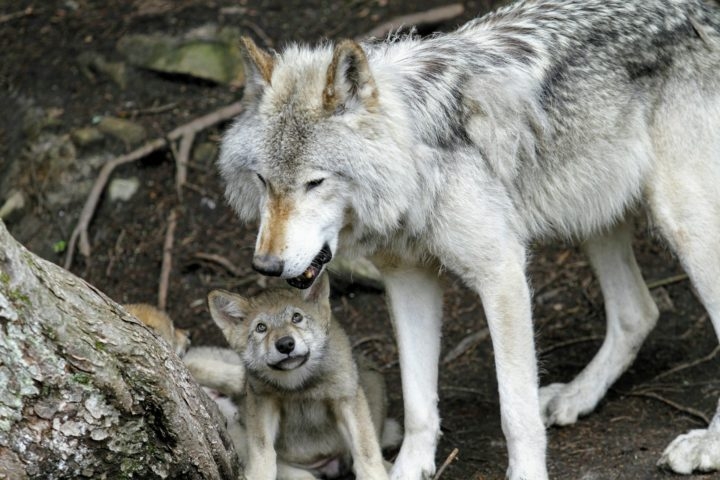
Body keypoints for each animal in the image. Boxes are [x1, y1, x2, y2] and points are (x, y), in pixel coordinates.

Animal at [217, 1, 720, 478]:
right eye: (263, 181)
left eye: (315, 183)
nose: (266, 266)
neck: (417, 158)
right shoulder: (407, 281)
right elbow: (418, 403)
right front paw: (408, 469)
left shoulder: (501, 273)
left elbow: (515, 412)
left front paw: (526, 473)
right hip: (594, 212)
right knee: (639, 312)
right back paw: (578, 396)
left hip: (682, 220)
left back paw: (707, 445)